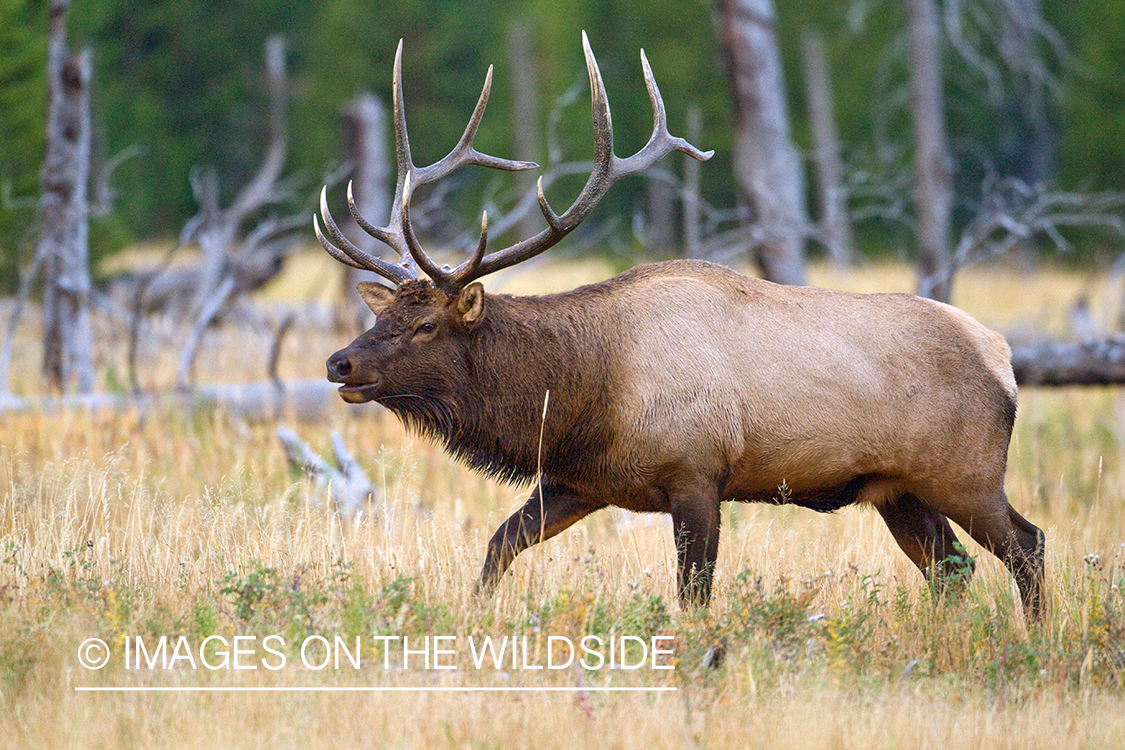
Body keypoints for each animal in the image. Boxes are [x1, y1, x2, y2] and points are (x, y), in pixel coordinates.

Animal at [315, 35, 1044, 620]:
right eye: (381, 313)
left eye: (425, 325)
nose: (338, 363)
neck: (584, 393)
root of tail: (1002, 357)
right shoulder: (580, 480)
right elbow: (499, 545)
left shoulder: (697, 473)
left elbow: (693, 593)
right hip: (898, 489)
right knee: (952, 569)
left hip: (966, 473)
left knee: (1026, 545)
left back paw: (1035, 640)